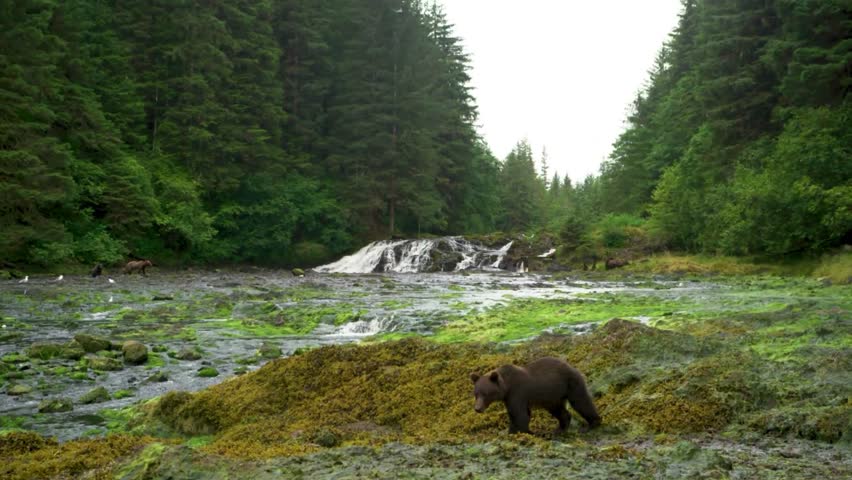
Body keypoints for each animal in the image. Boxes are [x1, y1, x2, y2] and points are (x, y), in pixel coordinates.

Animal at [470, 357, 601, 435]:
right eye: (476, 394)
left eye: (485, 394)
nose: (477, 408)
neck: (506, 386)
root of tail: (572, 367)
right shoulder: (509, 398)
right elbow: (515, 414)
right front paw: (511, 431)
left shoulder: (517, 393)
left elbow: (520, 415)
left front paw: (522, 432)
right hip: (553, 396)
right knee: (559, 410)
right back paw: (559, 429)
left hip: (571, 384)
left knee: (581, 402)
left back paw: (593, 423)